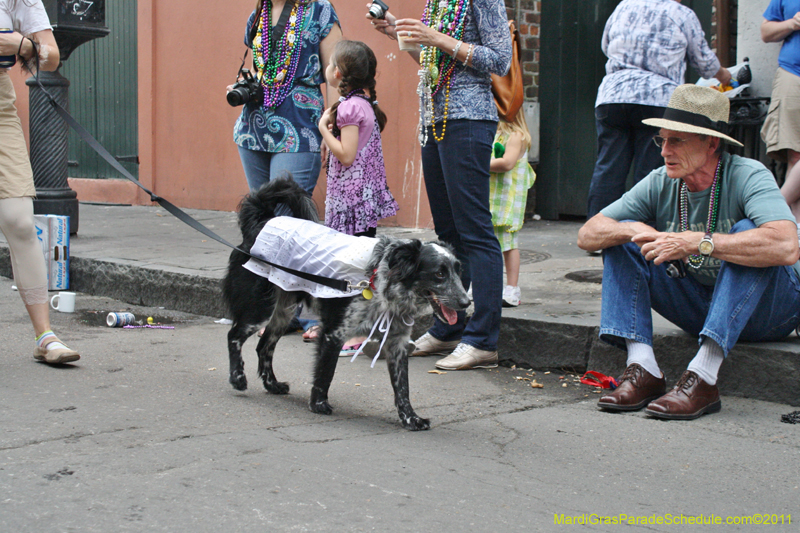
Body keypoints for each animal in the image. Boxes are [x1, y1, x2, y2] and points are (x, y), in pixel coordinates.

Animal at [220, 177, 468, 430]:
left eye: (458, 271)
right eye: (439, 274)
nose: (466, 302)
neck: (380, 284)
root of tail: (261, 223)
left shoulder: (396, 343)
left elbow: (402, 389)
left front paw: (411, 418)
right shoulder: (333, 334)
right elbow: (325, 372)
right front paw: (318, 404)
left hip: (283, 312)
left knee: (264, 346)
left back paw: (272, 385)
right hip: (260, 308)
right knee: (234, 336)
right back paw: (238, 377)